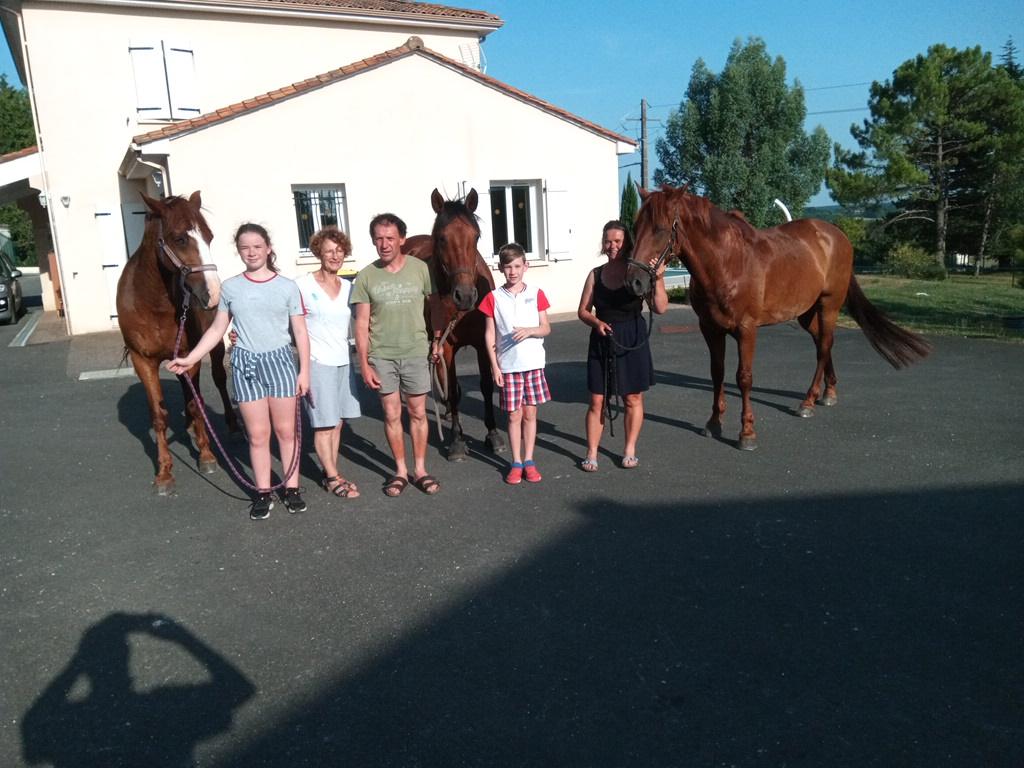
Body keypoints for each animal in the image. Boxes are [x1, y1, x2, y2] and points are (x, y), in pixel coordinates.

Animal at [115, 191, 236, 493]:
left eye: (209, 237)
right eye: (180, 238)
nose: (214, 293)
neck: (154, 303)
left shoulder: (191, 353)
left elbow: (194, 403)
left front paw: (206, 457)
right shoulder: (142, 361)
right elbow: (159, 416)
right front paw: (164, 473)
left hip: (214, 347)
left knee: (217, 380)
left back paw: (229, 424)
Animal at [626, 185, 933, 450]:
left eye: (660, 229)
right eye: (635, 227)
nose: (636, 282)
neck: (727, 263)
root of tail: (836, 234)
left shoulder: (747, 329)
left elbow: (744, 378)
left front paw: (747, 433)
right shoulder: (710, 329)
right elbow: (717, 374)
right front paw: (713, 423)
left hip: (829, 305)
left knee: (823, 347)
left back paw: (808, 402)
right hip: (805, 313)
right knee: (824, 343)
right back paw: (829, 393)